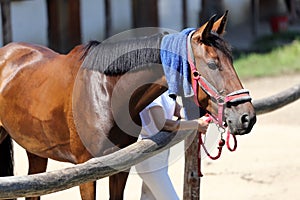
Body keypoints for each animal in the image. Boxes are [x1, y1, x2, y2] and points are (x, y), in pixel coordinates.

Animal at [0, 11, 255, 199]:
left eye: (232, 60)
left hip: (36, 152)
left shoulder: (121, 165)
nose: (246, 117)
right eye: (212, 64)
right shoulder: (86, 170)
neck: (105, 92)